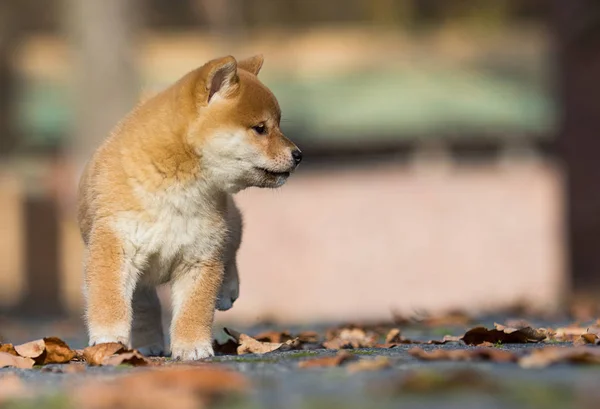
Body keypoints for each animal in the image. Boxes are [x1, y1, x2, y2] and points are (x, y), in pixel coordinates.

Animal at [76, 54, 300, 356]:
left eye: (277, 125)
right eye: (260, 129)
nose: (298, 155)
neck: (177, 187)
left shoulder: (201, 254)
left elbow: (195, 309)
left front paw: (193, 347)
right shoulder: (115, 244)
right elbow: (108, 300)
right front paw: (108, 340)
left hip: (228, 224)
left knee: (232, 248)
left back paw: (227, 290)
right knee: (145, 306)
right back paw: (148, 344)